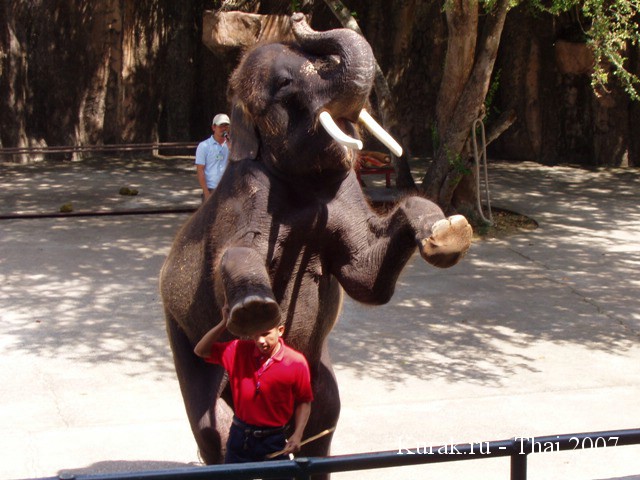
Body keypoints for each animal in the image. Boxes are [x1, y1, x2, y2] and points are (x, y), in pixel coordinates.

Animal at [159, 13, 472, 468]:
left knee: (324, 415)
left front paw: (447, 231)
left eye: (320, 64)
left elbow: (364, 278)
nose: (299, 17)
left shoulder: (345, 190)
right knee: (213, 429)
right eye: (285, 84)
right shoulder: (246, 191)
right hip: (179, 329)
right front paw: (254, 309)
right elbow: (231, 256)